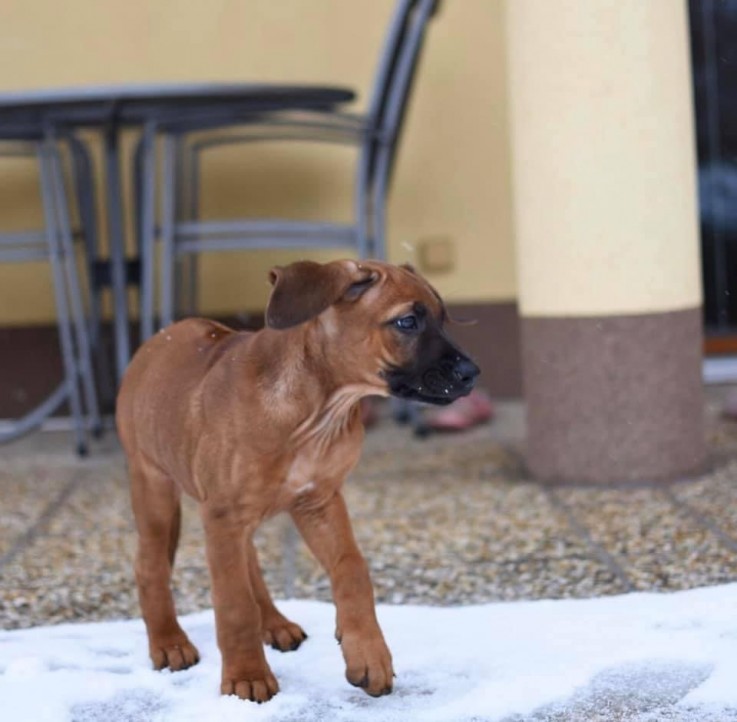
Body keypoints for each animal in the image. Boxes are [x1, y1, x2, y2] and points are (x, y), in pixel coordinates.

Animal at [116, 260, 478, 704]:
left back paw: (274, 622)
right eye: (407, 322)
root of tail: (156, 341)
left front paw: (368, 653)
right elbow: (233, 604)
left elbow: (352, 568)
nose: (472, 374)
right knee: (150, 564)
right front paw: (246, 676)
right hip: (154, 486)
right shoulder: (224, 515)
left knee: (248, 562)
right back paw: (169, 642)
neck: (316, 411)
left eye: (444, 319)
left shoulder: (318, 501)